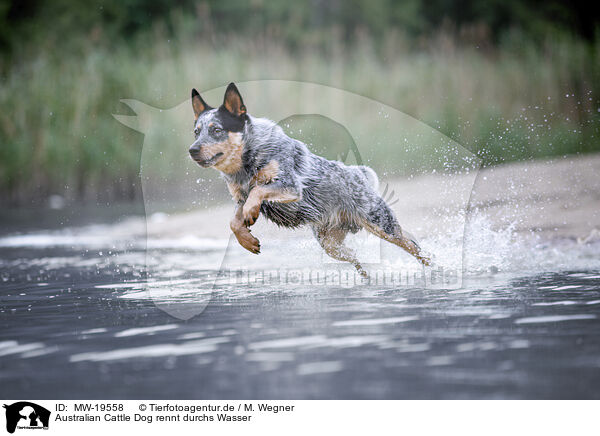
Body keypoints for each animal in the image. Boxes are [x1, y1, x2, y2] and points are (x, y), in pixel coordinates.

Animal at [190, 83, 428, 278]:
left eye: (216, 129)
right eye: (196, 132)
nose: (192, 150)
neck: (245, 165)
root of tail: (359, 174)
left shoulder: (290, 187)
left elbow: (258, 190)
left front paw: (251, 213)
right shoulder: (239, 198)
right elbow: (233, 222)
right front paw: (247, 241)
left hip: (382, 225)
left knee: (414, 246)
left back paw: (432, 267)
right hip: (330, 245)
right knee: (354, 255)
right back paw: (366, 277)